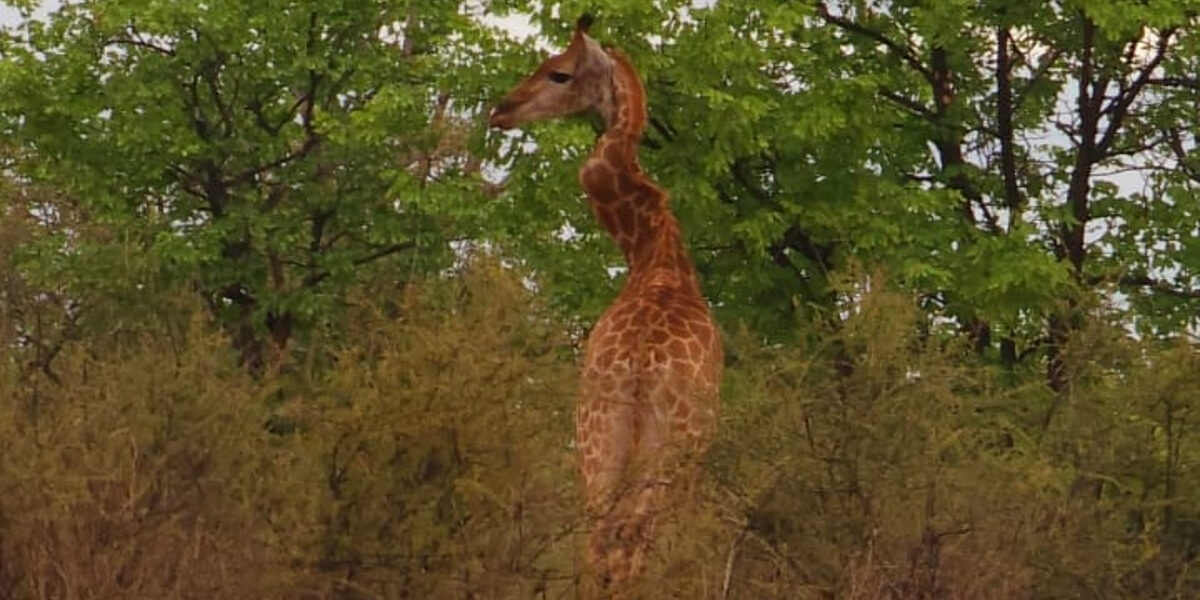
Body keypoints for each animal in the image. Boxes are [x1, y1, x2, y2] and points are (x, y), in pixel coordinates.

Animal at [489, 15, 720, 595]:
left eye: (559, 72)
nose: (500, 110)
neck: (652, 252)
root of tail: (639, 367)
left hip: (594, 440)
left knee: (597, 545)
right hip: (665, 451)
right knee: (629, 546)